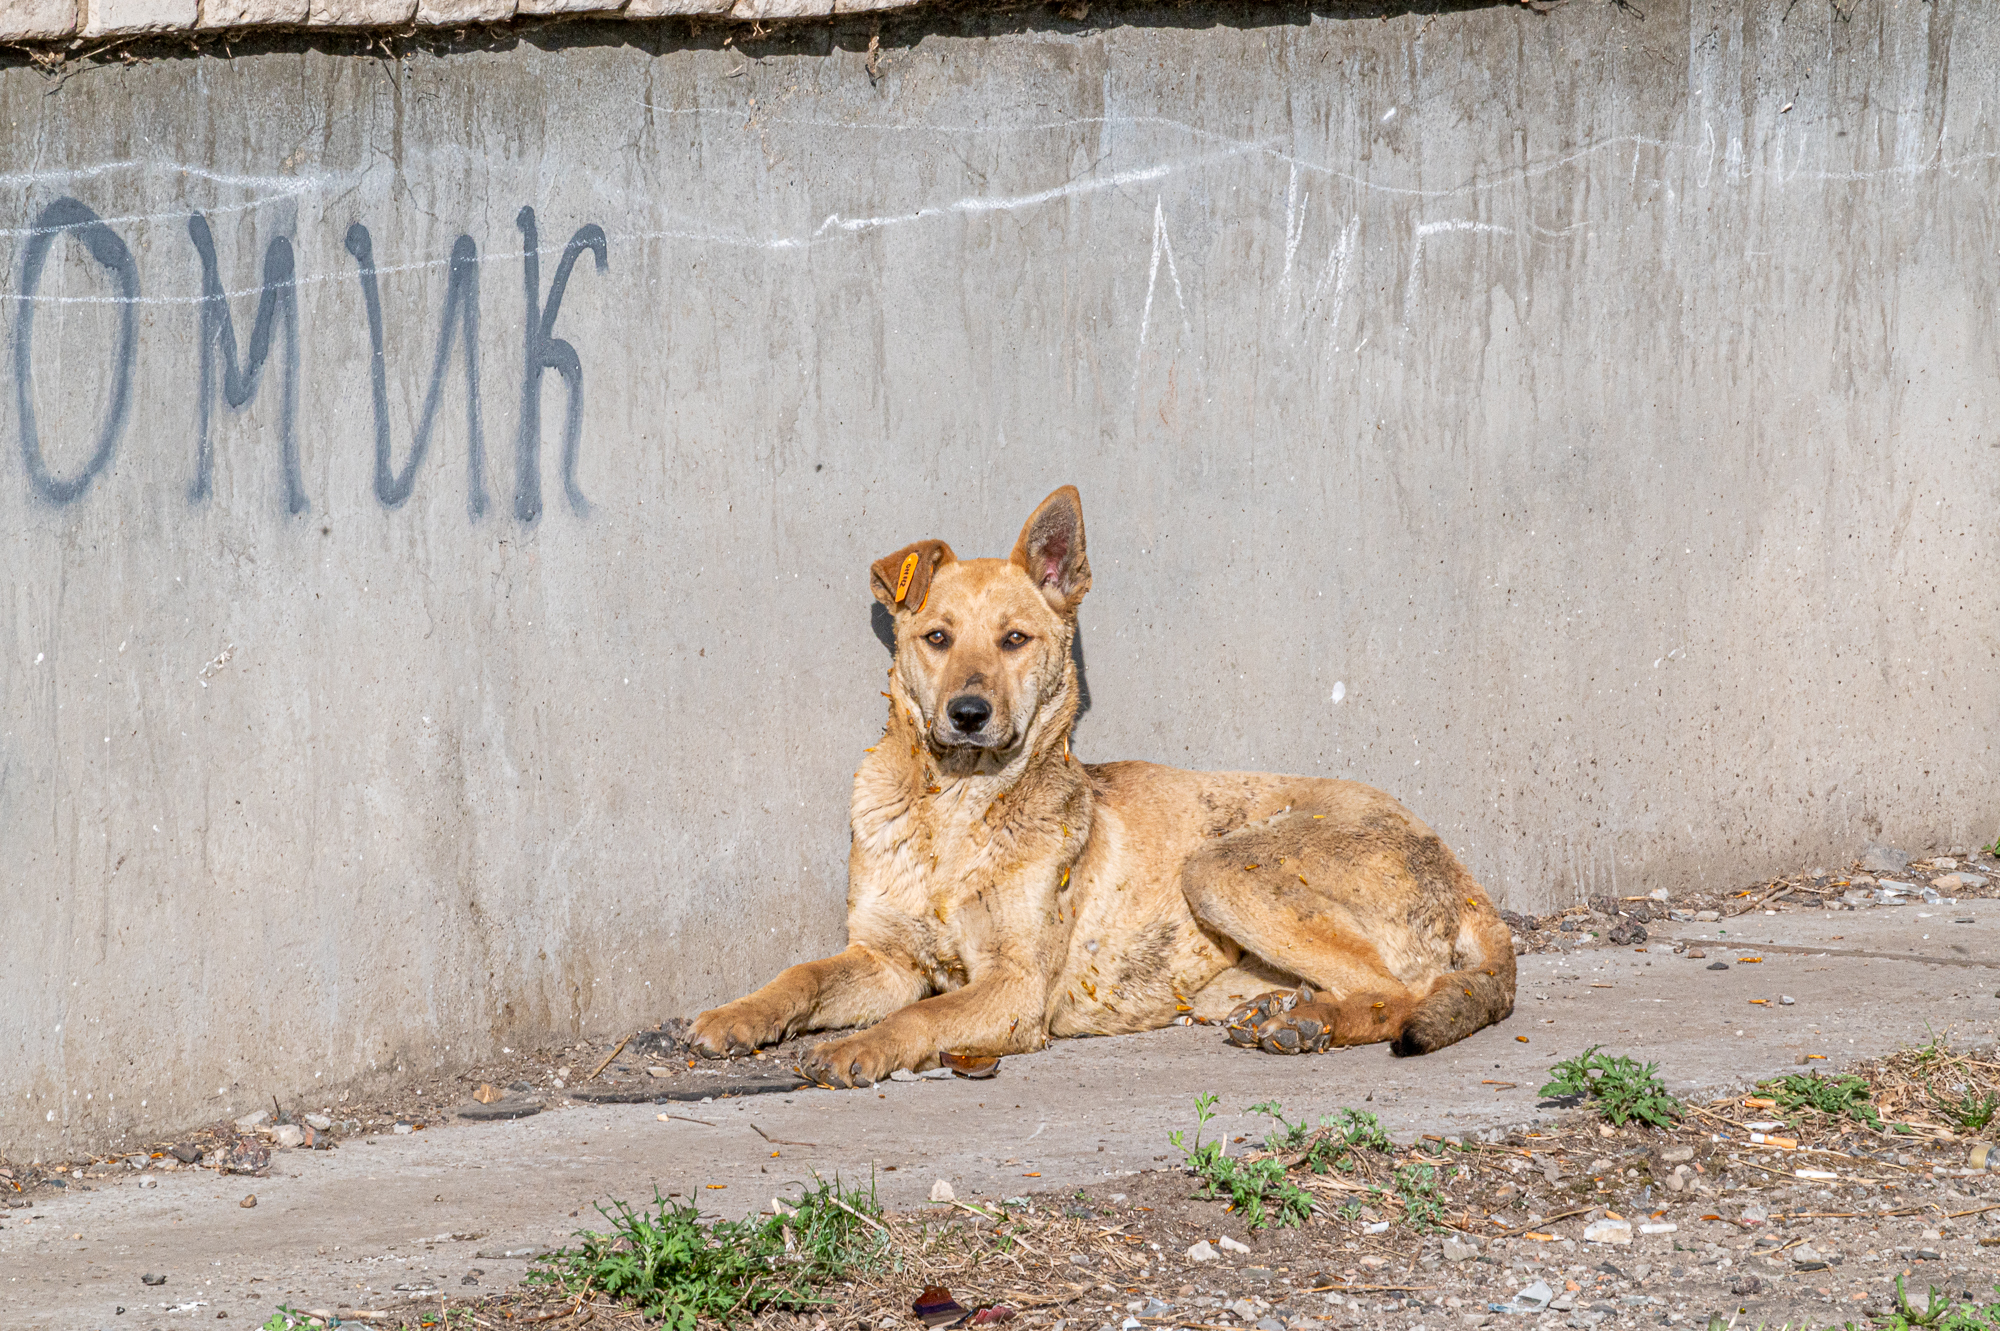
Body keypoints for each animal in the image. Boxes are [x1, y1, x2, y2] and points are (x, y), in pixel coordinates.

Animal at [688, 481, 1512, 1087]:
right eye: (937, 638)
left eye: (1015, 640)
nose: (968, 714)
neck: (953, 813)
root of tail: (1466, 878)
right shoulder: (887, 959)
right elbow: (800, 974)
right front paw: (737, 1015)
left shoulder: (1013, 987)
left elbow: (917, 1017)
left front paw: (858, 1046)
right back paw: (1287, 1008)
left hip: (1221, 866)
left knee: (1398, 992)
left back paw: (1309, 1023)